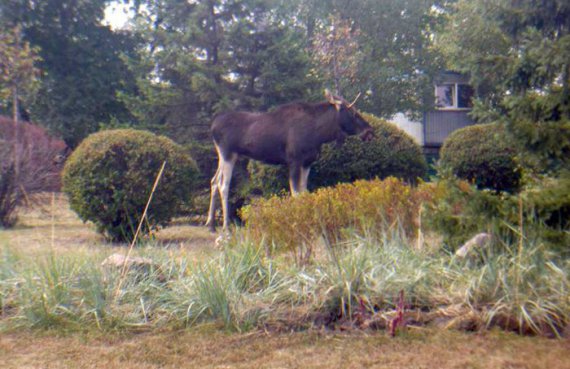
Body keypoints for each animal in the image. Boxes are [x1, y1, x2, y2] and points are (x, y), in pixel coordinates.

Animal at [204, 89, 372, 231]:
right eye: (352, 112)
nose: (370, 131)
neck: (319, 134)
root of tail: (212, 125)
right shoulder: (294, 161)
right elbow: (295, 193)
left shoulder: (307, 163)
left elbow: (304, 192)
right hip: (228, 153)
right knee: (223, 185)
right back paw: (225, 227)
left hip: (227, 155)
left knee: (213, 180)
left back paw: (210, 224)